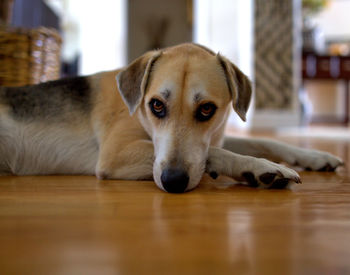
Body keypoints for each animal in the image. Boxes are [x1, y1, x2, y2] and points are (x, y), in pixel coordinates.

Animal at [0, 43, 344, 194]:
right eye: (156, 105)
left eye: (206, 109)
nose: (173, 182)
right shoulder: (115, 154)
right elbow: (215, 152)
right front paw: (260, 169)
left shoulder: (217, 131)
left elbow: (264, 141)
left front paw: (315, 156)